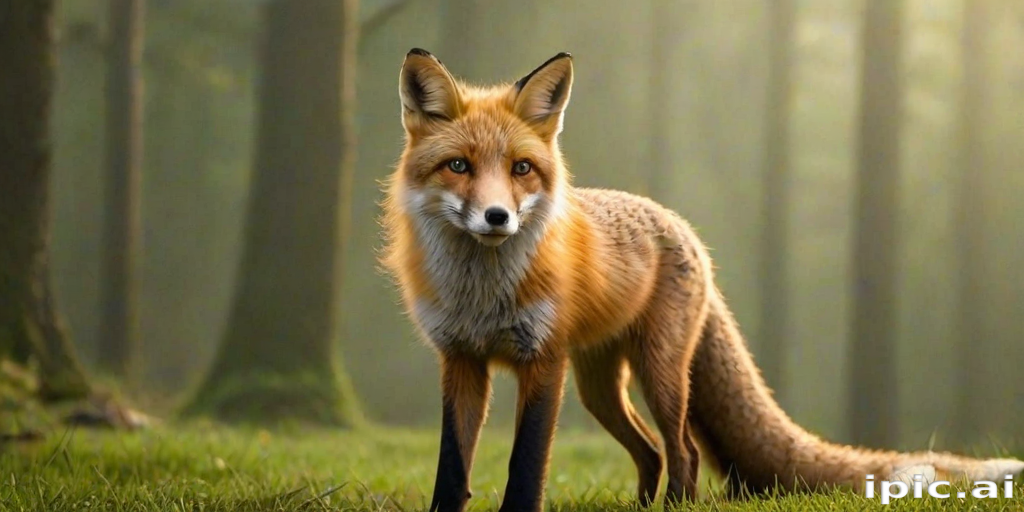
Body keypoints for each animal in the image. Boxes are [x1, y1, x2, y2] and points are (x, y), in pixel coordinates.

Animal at [379, 49, 1024, 512]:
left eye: (520, 169)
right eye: (458, 166)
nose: (498, 218)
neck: (481, 294)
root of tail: (681, 224)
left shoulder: (543, 362)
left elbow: (526, 466)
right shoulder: (462, 360)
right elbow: (452, 468)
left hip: (658, 372)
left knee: (682, 450)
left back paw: (675, 507)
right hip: (597, 386)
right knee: (650, 453)